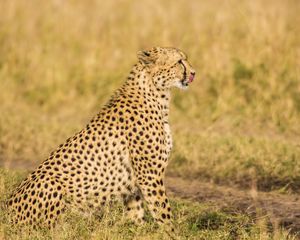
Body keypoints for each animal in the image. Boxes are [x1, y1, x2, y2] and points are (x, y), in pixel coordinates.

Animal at [6, 47, 197, 232]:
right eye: (179, 61)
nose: (194, 73)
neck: (156, 93)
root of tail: (7, 211)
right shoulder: (149, 175)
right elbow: (162, 211)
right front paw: (171, 233)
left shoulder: (133, 180)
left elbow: (136, 211)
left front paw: (138, 231)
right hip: (51, 183)